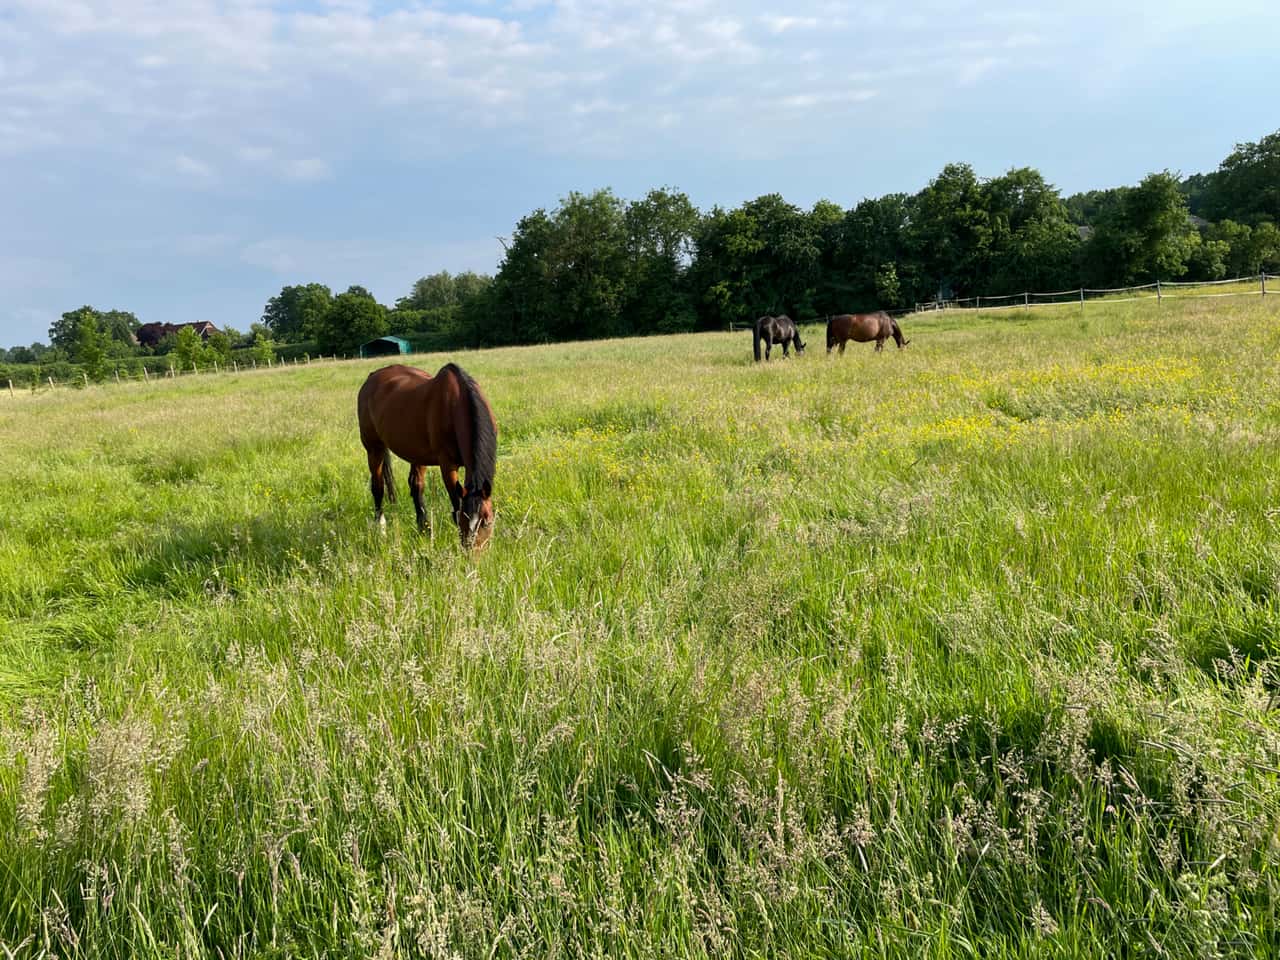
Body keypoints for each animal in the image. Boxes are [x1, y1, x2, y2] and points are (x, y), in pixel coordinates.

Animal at [357, 362, 497, 549]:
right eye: (463, 522)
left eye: (487, 522)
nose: (472, 553)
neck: (456, 405)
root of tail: (372, 377)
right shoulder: (447, 466)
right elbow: (456, 505)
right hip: (374, 448)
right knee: (378, 487)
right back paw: (381, 529)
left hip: (416, 454)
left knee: (416, 486)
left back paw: (424, 529)